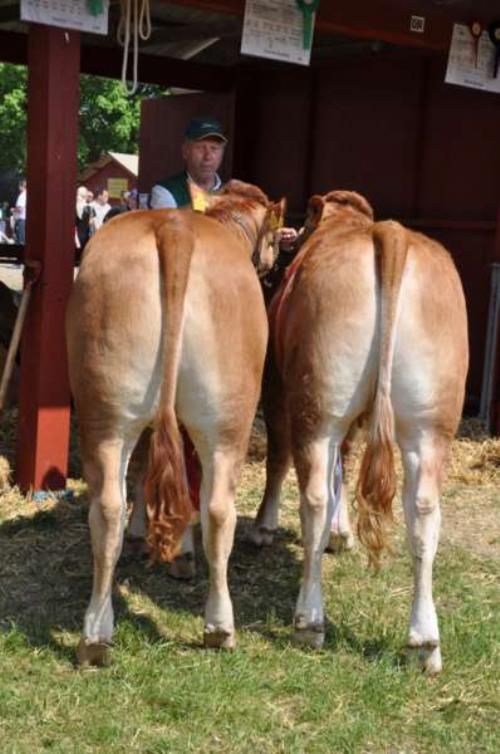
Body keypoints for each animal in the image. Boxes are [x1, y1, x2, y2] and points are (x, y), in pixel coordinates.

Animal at [66, 179, 286, 660]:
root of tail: (175, 229)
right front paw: (182, 552)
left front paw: (148, 535)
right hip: (228, 419)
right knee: (218, 509)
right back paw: (219, 627)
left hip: (106, 411)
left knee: (108, 508)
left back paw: (95, 634)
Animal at [252, 191, 466, 672]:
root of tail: (390, 232)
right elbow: (344, 465)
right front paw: (342, 533)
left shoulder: (275, 385)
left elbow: (283, 460)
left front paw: (265, 526)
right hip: (431, 422)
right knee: (424, 512)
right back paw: (425, 642)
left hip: (317, 405)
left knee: (312, 496)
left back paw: (309, 622)